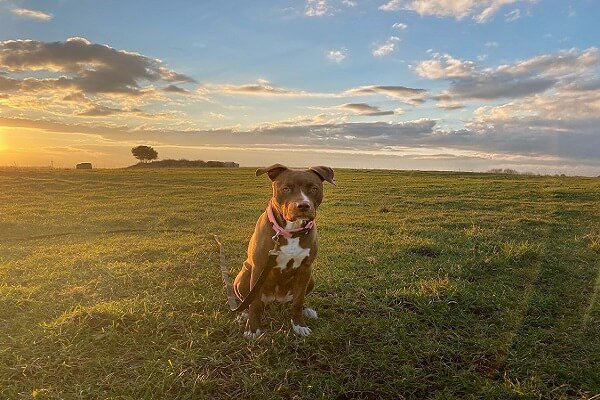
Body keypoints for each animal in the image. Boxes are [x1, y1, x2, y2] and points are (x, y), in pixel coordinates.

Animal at [233, 162, 336, 338]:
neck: (290, 231)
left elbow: (298, 301)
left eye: (314, 188)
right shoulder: (259, 268)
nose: (303, 205)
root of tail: (275, 299)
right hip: (243, 277)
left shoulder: (305, 269)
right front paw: (252, 328)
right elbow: (254, 303)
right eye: (286, 188)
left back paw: (307, 310)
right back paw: (244, 313)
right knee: (248, 300)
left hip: (310, 279)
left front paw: (299, 324)